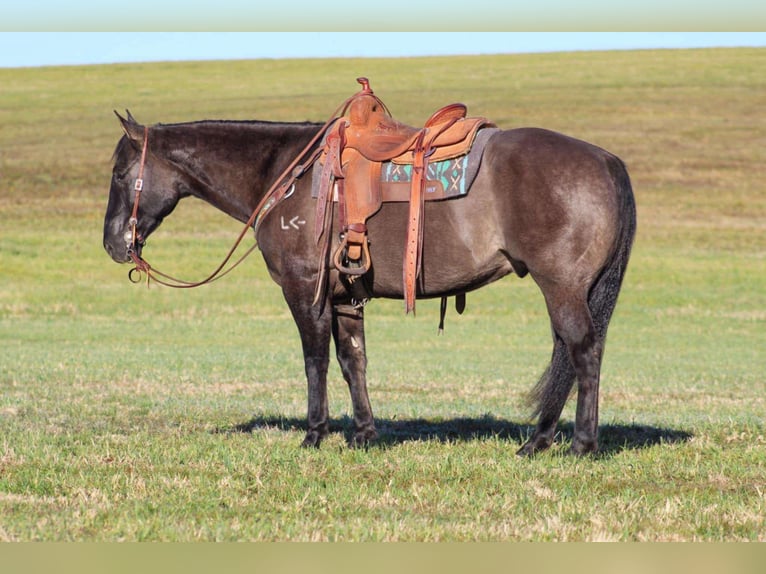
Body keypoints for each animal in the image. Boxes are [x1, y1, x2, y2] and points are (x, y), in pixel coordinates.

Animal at [105, 99, 640, 462]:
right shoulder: (346, 297)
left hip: (562, 287)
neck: (286, 176)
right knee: (568, 355)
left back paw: (580, 444)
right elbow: (352, 361)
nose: (113, 243)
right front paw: (364, 434)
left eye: (119, 175)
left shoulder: (304, 291)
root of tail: (607, 161)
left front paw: (315, 434)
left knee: (583, 351)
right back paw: (537, 441)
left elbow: (316, 362)